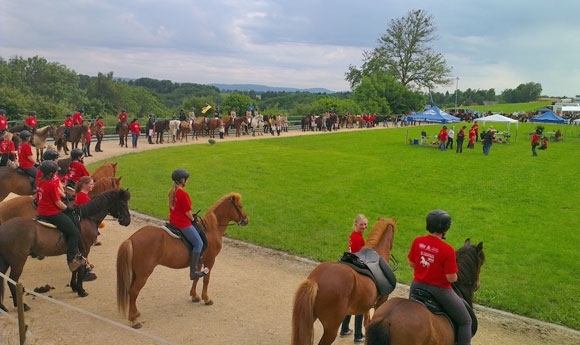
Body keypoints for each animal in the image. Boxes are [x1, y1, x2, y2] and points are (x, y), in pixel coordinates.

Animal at [0, 189, 131, 310]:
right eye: (123, 203)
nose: (127, 220)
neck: (86, 218)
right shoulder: (84, 250)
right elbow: (80, 269)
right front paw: (81, 290)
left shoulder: (75, 252)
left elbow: (74, 269)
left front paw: (74, 286)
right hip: (18, 262)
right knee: (11, 281)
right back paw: (21, 305)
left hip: (6, 262)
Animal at [116, 191, 249, 328]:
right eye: (240, 206)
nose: (246, 219)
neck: (212, 229)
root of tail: (132, 239)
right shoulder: (210, 260)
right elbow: (206, 280)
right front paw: (206, 298)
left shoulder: (199, 261)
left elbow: (196, 278)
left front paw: (194, 296)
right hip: (144, 273)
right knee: (134, 291)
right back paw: (133, 320)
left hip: (136, 272)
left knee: (131, 291)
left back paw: (135, 313)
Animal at [290, 216, 398, 344]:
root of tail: (315, 281)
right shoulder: (380, 301)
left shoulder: (366, 304)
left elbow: (366, 322)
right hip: (331, 329)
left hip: (309, 317)